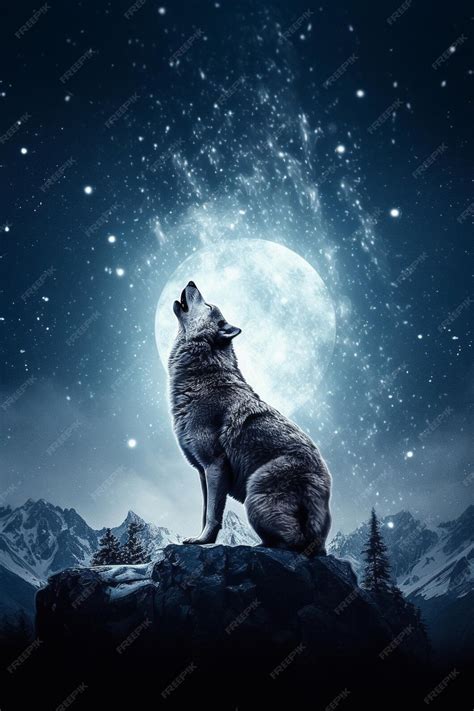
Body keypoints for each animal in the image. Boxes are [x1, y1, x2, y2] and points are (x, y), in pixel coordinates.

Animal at [168, 281, 332, 553]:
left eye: (208, 304)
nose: (192, 282)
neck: (203, 375)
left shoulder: (215, 465)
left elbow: (212, 514)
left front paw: (203, 540)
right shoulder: (202, 472)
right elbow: (205, 512)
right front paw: (202, 539)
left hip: (255, 490)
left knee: (291, 543)